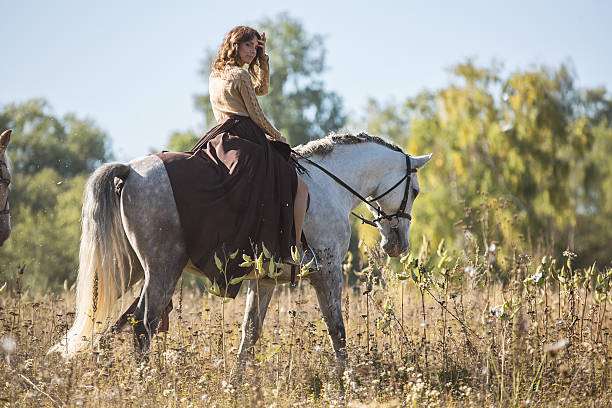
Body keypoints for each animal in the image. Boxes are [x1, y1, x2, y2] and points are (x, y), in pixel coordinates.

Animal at [50, 132, 432, 378]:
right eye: (414, 190)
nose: (397, 245)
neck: (330, 186)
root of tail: (129, 170)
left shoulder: (264, 281)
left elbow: (251, 332)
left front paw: (235, 382)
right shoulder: (326, 271)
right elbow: (336, 328)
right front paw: (349, 380)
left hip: (129, 269)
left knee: (107, 322)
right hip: (162, 270)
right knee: (143, 325)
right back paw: (147, 384)